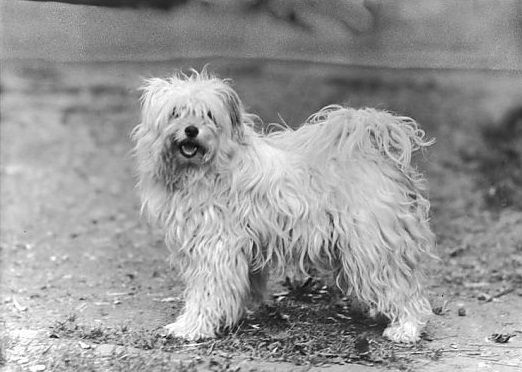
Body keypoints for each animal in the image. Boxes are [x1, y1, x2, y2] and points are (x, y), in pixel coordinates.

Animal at [131, 69, 434, 342]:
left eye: (208, 115)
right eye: (175, 112)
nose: (191, 130)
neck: (206, 169)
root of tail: (376, 152)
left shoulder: (215, 248)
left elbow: (206, 293)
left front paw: (191, 327)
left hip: (374, 248)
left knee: (404, 289)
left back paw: (406, 328)